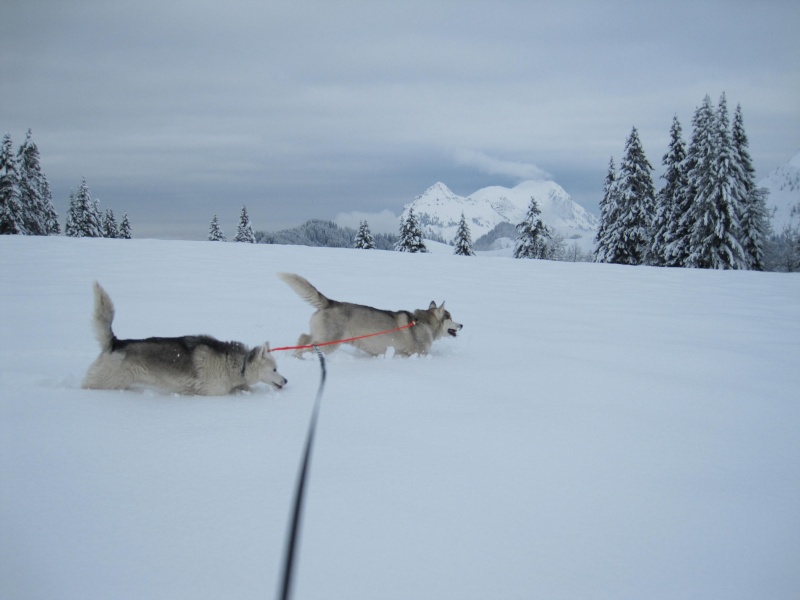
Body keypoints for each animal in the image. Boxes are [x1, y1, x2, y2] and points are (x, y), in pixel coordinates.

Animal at [83, 284, 290, 396]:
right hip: (104, 383)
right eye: (275, 369)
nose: (286, 380)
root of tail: (115, 342)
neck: (240, 365)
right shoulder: (213, 392)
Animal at [278, 276, 462, 358]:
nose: (462, 325)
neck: (425, 322)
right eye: (451, 317)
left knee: (303, 336)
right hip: (329, 342)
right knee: (309, 347)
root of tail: (330, 302)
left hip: (320, 334)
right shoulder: (415, 353)